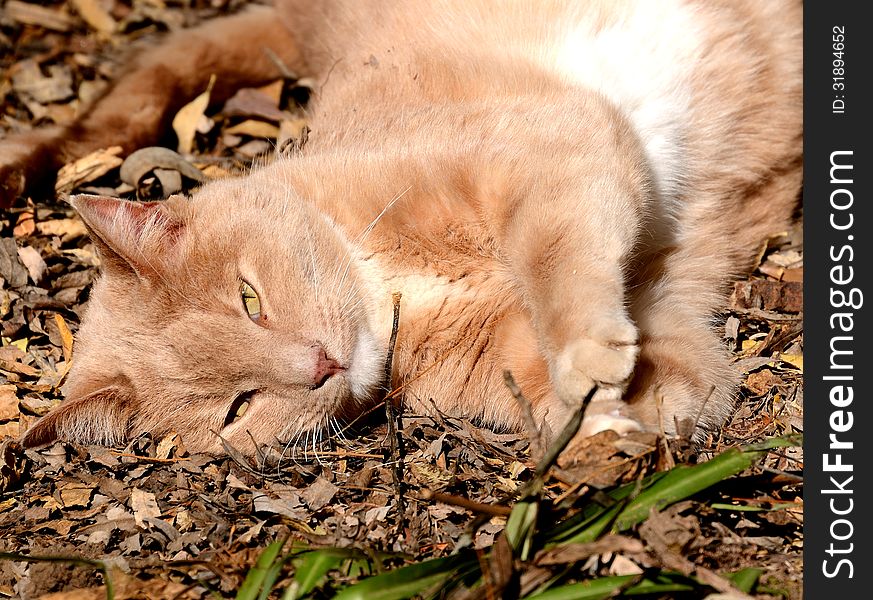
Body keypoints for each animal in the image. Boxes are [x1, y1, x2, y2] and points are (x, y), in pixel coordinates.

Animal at [6, 1, 800, 454]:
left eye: (249, 299)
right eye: (236, 407)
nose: (321, 365)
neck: (393, 287)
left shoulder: (554, 149)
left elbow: (556, 262)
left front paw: (586, 353)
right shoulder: (653, 352)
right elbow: (652, 386)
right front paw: (601, 425)